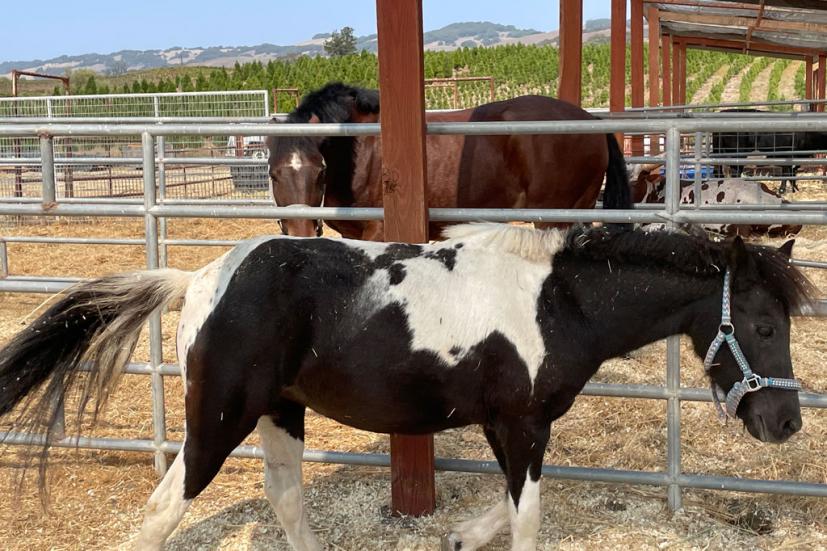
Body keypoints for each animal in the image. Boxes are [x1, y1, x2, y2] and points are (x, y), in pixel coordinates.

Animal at [0, 225, 816, 551]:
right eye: (763, 324)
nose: (785, 423)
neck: (556, 302)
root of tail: (198, 279)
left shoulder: (507, 425)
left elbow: (510, 505)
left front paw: (458, 536)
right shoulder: (521, 422)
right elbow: (527, 515)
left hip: (279, 411)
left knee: (286, 499)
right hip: (219, 420)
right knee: (162, 511)